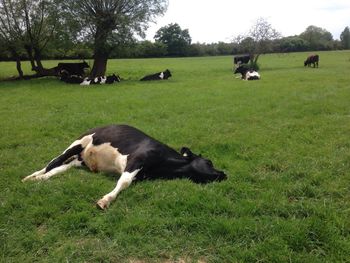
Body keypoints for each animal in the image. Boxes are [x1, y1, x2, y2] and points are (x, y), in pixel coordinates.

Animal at [22, 124, 227, 210]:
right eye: (209, 162)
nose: (224, 174)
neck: (162, 167)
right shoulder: (136, 160)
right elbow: (124, 182)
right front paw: (105, 200)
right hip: (78, 143)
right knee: (53, 161)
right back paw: (32, 177)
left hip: (78, 161)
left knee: (58, 169)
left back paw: (38, 178)